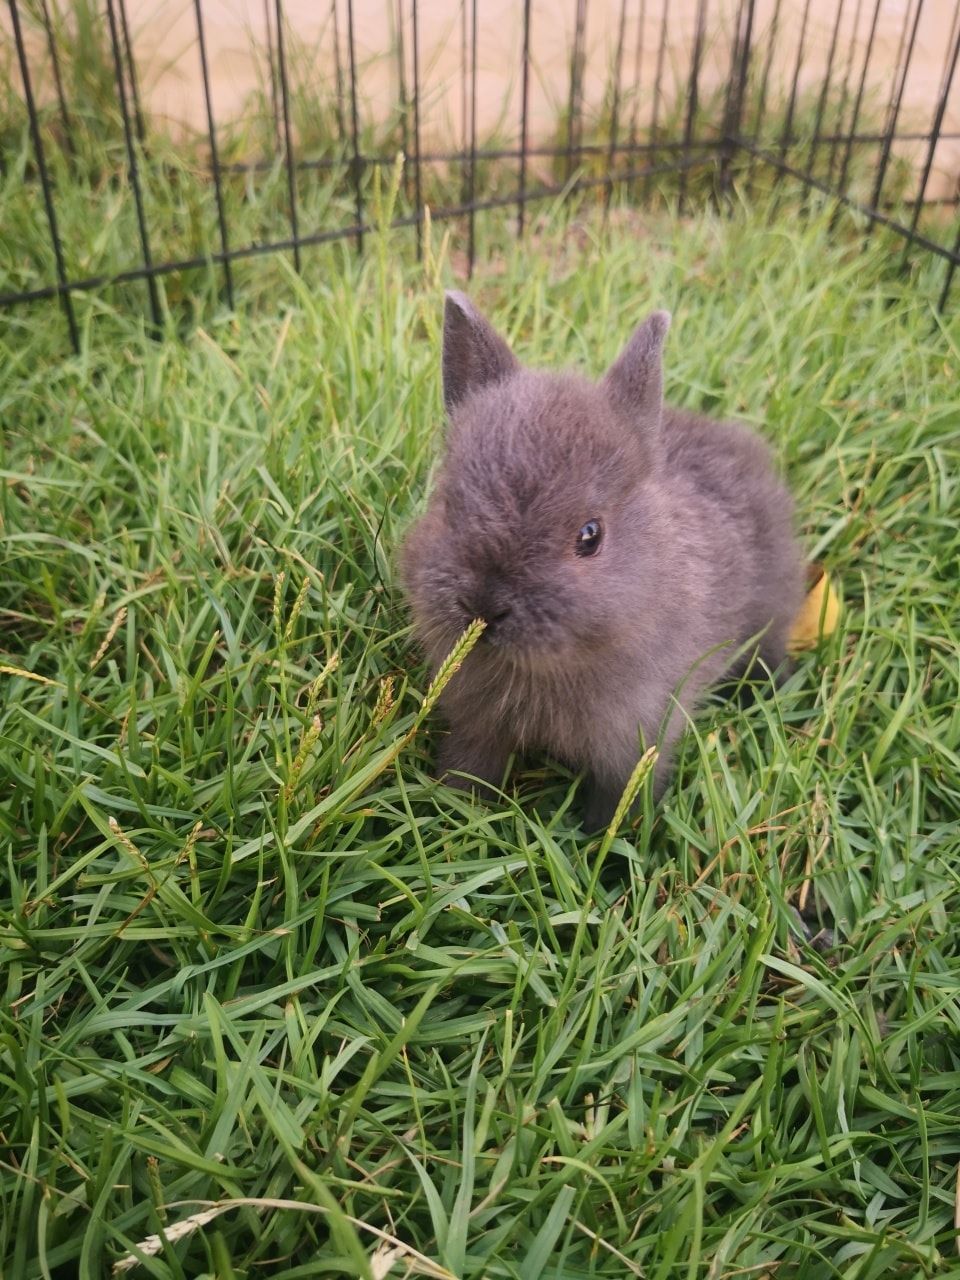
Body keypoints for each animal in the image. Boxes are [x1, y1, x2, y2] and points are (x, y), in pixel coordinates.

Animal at [400, 291, 805, 830]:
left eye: (590, 536)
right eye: (446, 502)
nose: (484, 606)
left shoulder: (634, 739)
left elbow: (617, 801)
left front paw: (603, 843)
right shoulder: (477, 725)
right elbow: (470, 767)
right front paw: (456, 813)